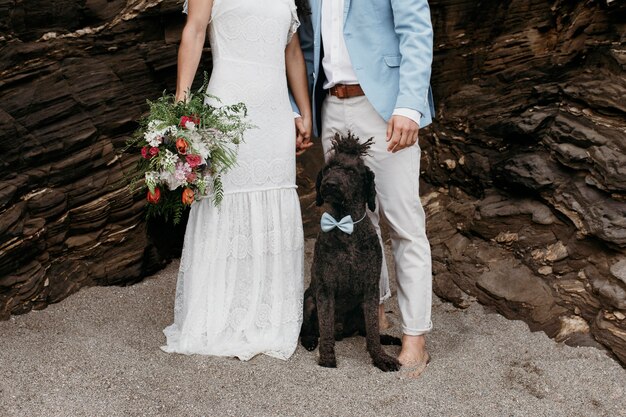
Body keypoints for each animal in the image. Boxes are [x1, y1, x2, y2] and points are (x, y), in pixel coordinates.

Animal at [298, 133, 398, 370]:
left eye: (351, 171)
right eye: (328, 169)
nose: (330, 184)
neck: (346, 228)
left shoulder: (370, 290)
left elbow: (372, 331)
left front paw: (380, 358)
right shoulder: (325, 290)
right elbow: (325, 328)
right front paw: (327, 358)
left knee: (365, 331)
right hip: (309, 300)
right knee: (308, 329)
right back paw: (309, 341)